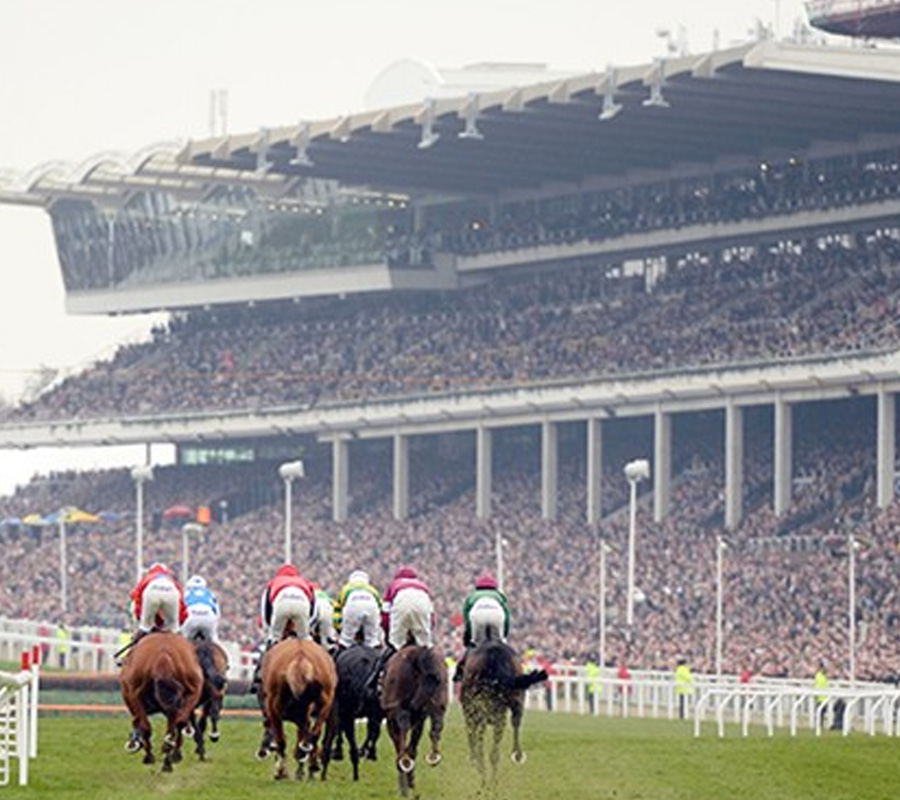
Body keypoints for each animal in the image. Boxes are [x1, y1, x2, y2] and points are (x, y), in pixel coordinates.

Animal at [118, 632, 203, 768]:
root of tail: (163, 657)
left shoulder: (133, 697)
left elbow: (141, 724)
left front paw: (146, 753)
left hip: (135, 694)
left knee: (147, 726)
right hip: (192, 687)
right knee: (178, 723)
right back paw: (171, 756)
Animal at [260, 636, 338, 780]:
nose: (262, 752)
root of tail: (301, 658)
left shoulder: (275, 710)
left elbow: (282, 739)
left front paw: (282, 771)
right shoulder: (304, 714)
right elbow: (304, 735)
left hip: (276, 706)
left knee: (283, 739)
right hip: (326, 701)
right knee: (315, 733)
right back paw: (310, 763)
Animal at [382, 648, 448, 796]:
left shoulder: (392, 719)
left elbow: (401, 745)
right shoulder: (420, 719)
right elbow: (412, 746)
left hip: (398, 709)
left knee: (403, 725)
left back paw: (405, 763)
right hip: (439, 701)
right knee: (436, 724)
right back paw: (433, 755)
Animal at [460, 636, 544, 788]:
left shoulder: (471, 711)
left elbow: (472, 736)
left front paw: (474, 762)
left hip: (480, 708)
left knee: (481, 743)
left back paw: (483, 772)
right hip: (515, 701)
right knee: (514, 723)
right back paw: (515, 756)